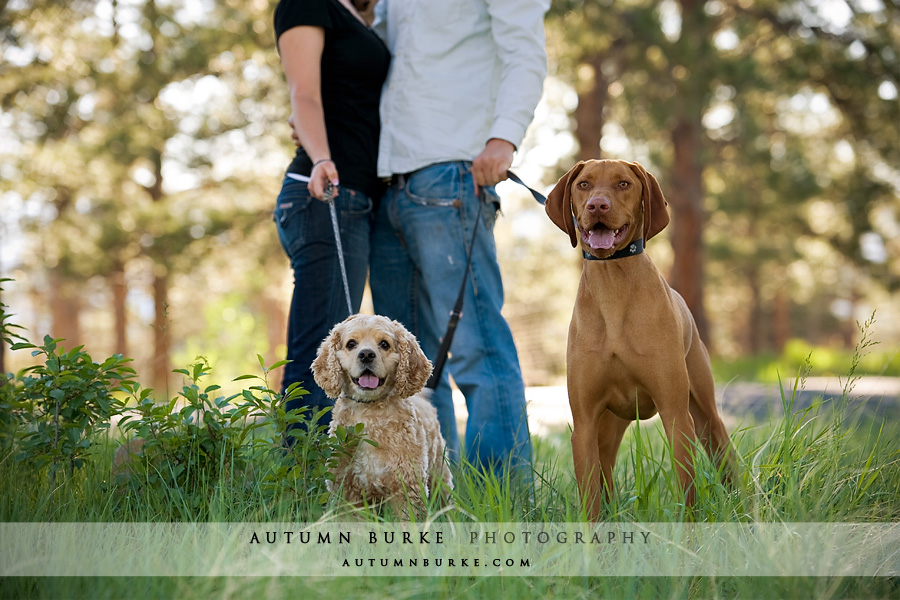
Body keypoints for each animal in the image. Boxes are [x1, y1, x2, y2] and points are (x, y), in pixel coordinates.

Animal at [312, 314, 454, 516]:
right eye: (351, 344)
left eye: (384, 344)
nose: (366, 354)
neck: (369, 413)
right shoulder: (346, 490)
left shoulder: (407, 487)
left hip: (439, 476)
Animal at [544, 161, 736, 520]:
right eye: (583, 184)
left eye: (624, 184)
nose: (597, 206)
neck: (613, 286)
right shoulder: (585, 424)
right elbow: (590, 502)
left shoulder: (676, 415)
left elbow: (687, 493)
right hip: (608, 428)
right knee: (605, 474)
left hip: (705, 414)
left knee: (725, 458)